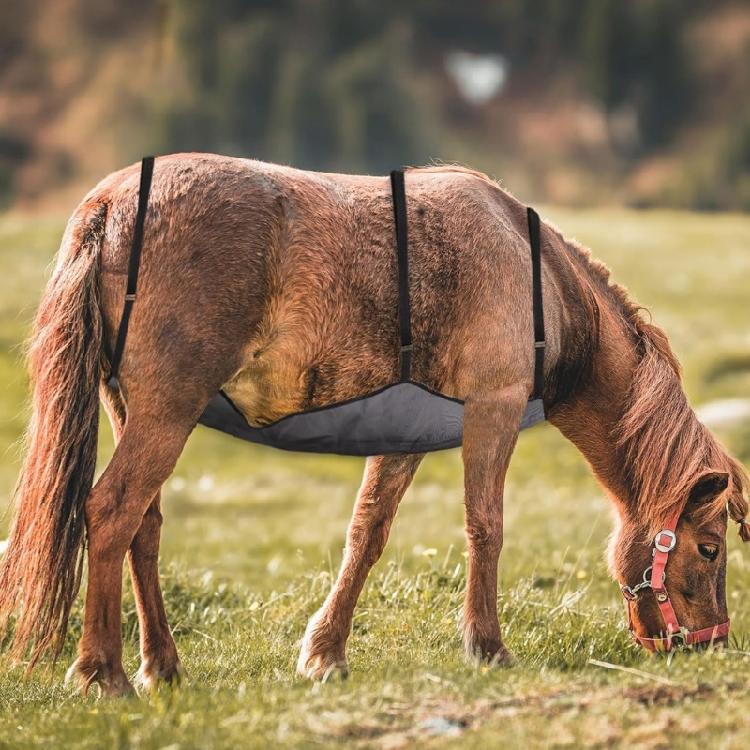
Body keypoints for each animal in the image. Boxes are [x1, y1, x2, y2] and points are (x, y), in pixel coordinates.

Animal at [0, 153, 748, 696]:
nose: (710, 645)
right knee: (112, 510)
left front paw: (325, 652)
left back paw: (163, 665)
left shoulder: (404, 438)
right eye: (710, 549)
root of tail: (110, 205)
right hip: (166, 410)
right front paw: (487, 646)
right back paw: (104, 672)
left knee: (143, 527)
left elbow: (367, 535)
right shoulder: (496, 408)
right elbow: (485, 526)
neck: (537, 276)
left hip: (133, 407)